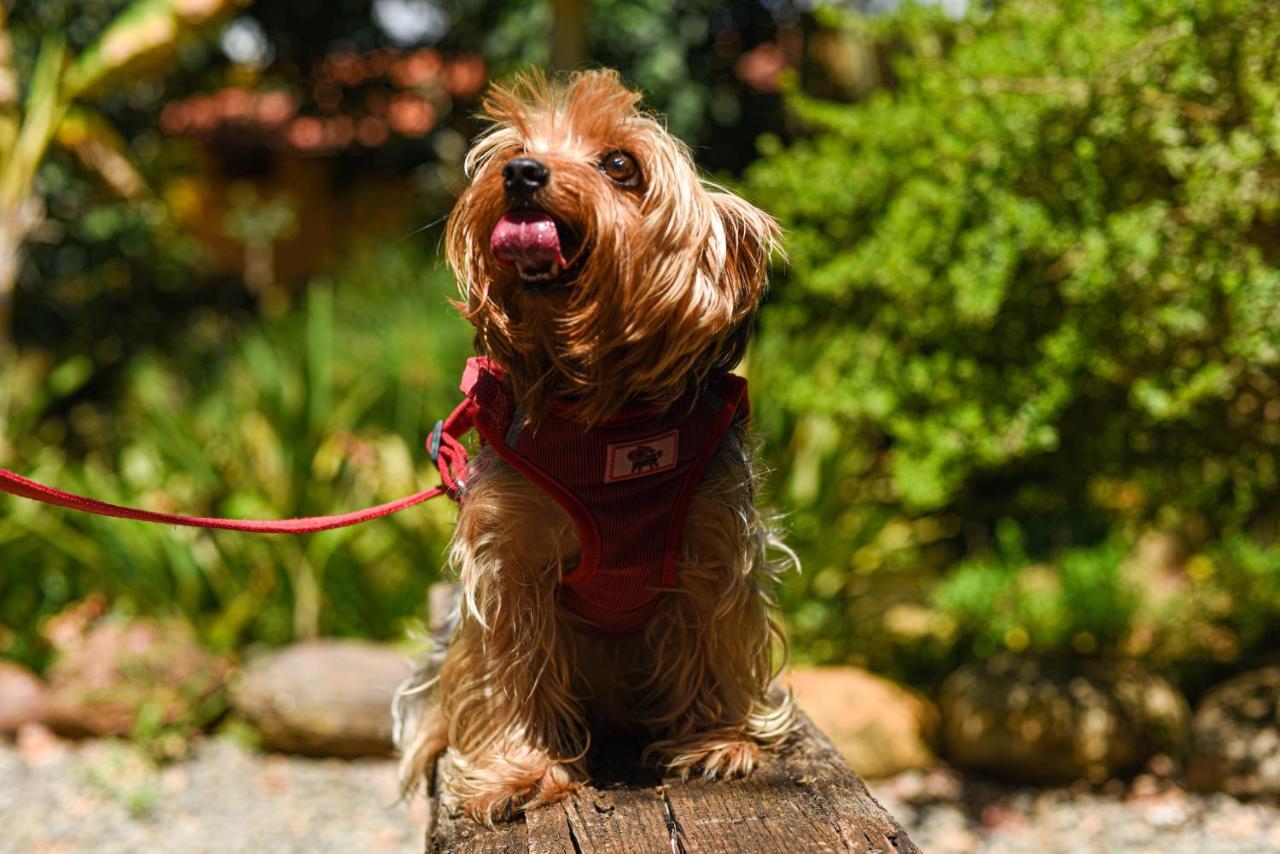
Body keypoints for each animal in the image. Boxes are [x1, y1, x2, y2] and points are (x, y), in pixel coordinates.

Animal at [394, 70, 793, 824]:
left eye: (619, 165)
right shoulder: (509, 556)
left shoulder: (713, 538)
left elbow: (710, 634)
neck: (607, 413)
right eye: (515, 148)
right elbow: (509, 662)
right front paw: (517, 772)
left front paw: (714, 742)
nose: (521, 173)